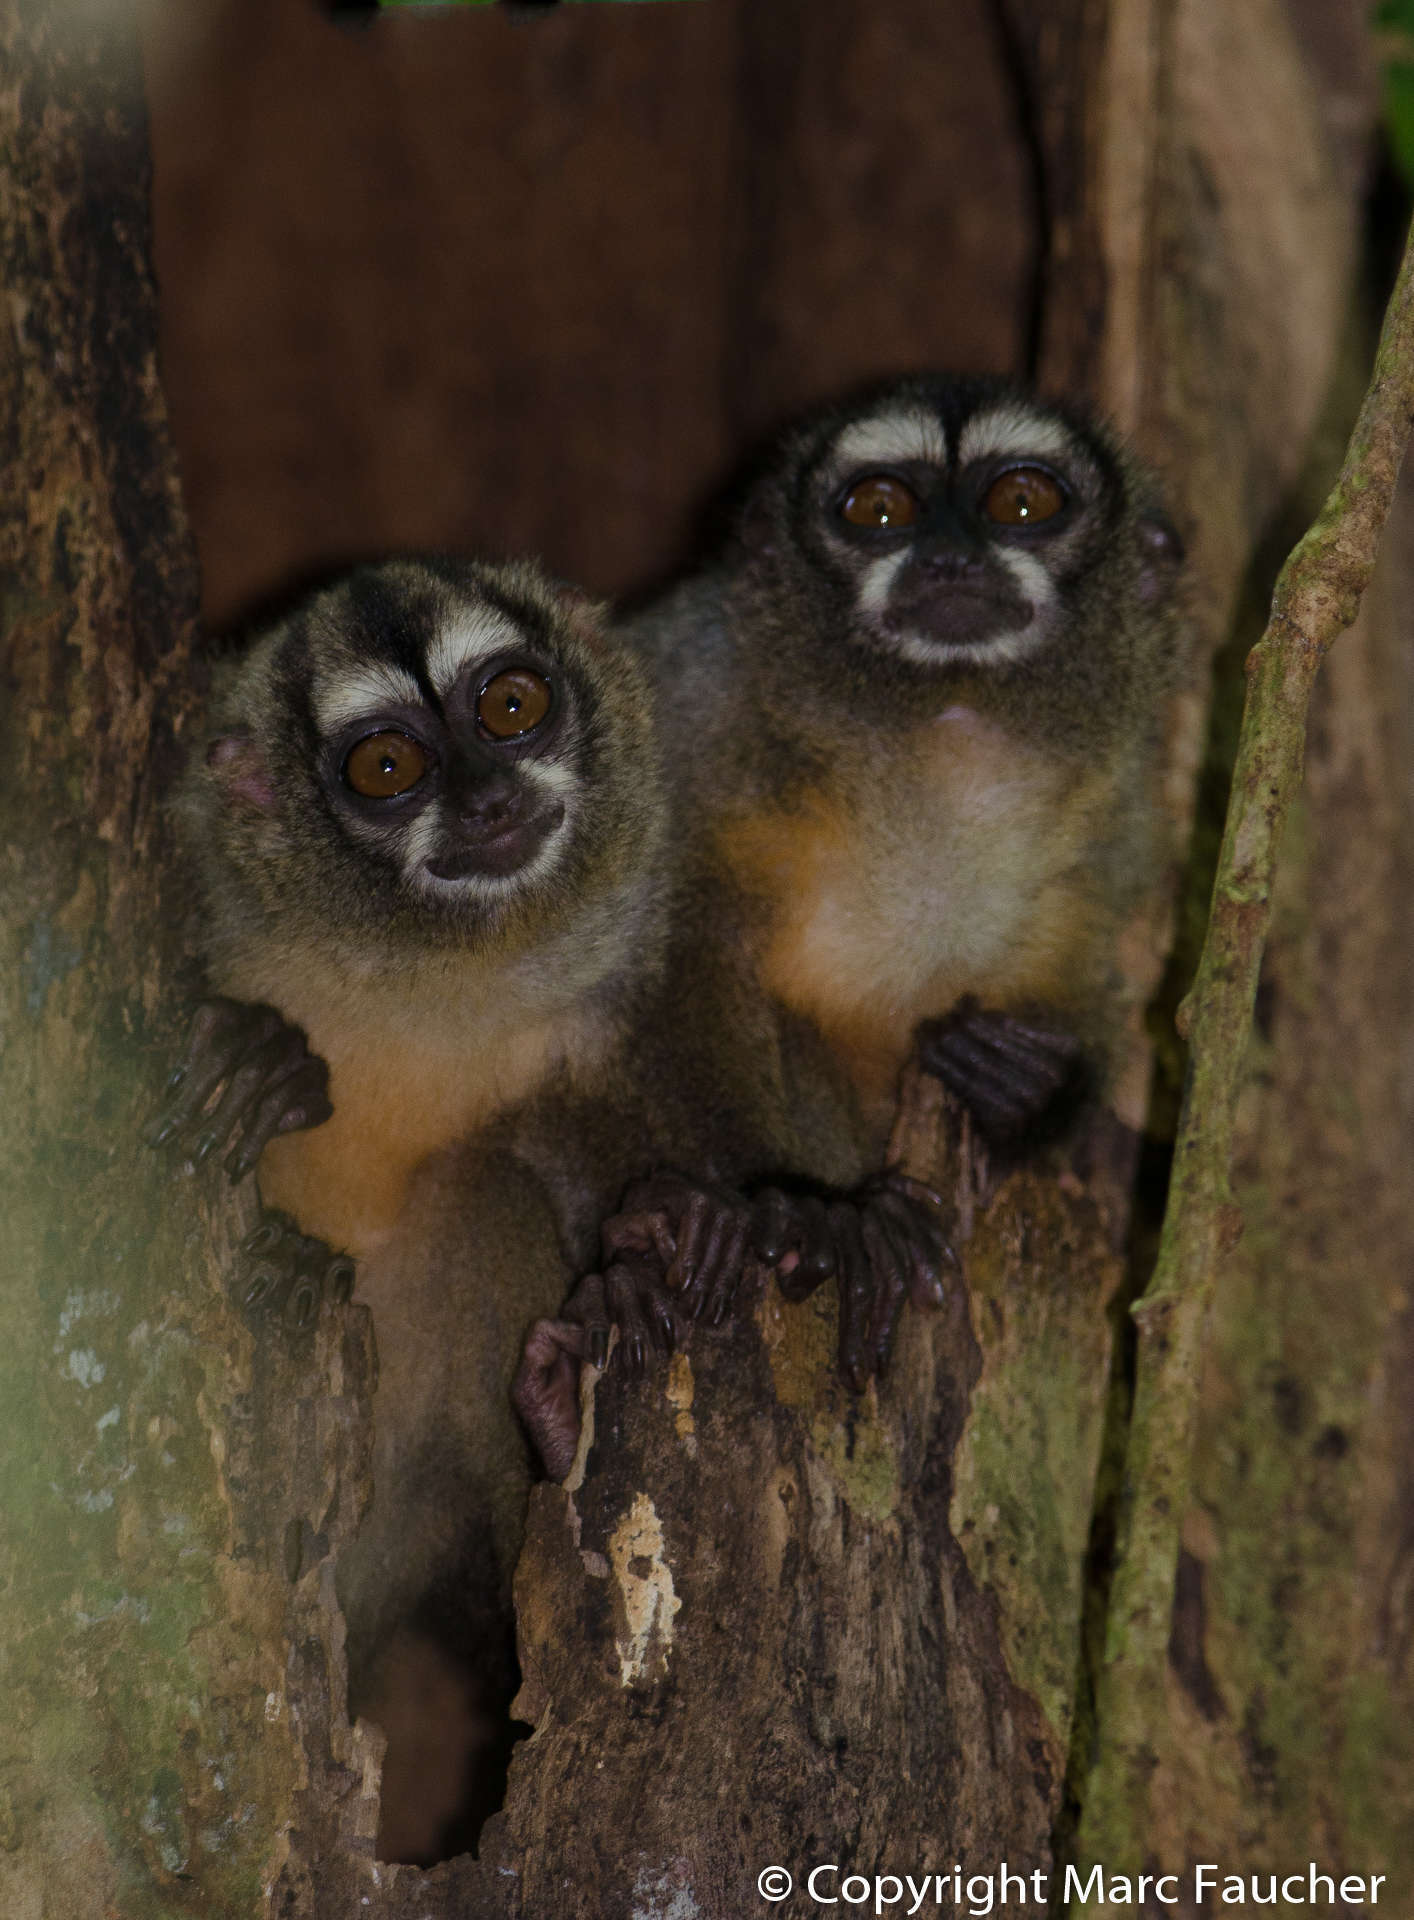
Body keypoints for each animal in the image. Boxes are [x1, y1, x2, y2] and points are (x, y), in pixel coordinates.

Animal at [622, 370, 1191, 1152]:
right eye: (880, 509)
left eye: (1022, 502)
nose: (949, 557)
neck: (944, 721)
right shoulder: (690, 705)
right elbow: (665, 965)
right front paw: (762, 1189)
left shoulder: (1122, 804)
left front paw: (1030, 1088)